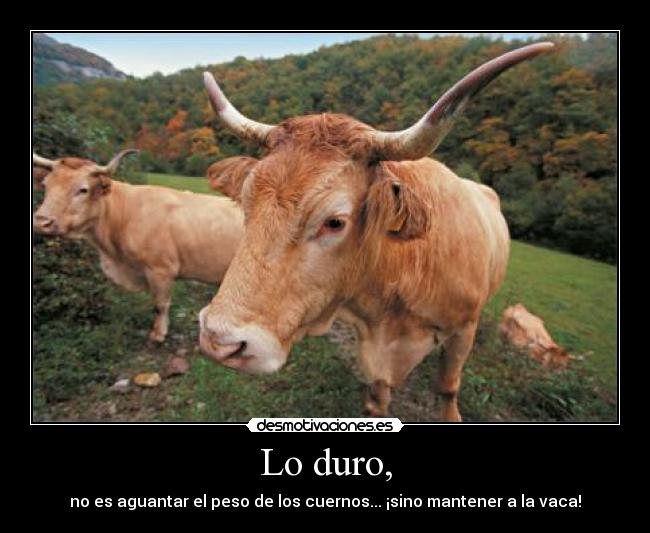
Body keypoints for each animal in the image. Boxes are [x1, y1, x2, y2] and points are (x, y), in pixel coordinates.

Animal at [33, 150, 244, 343]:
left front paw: (158, 334)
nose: (42, 222)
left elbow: (160, 305)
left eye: (82, 189)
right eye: (45, 185)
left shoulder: (160, 269)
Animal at [198, 42, 554, 421]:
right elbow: (378, 395)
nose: (220, 342)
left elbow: (447, 387)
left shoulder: (463, 329)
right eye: (246, 204)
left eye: (335, 221)